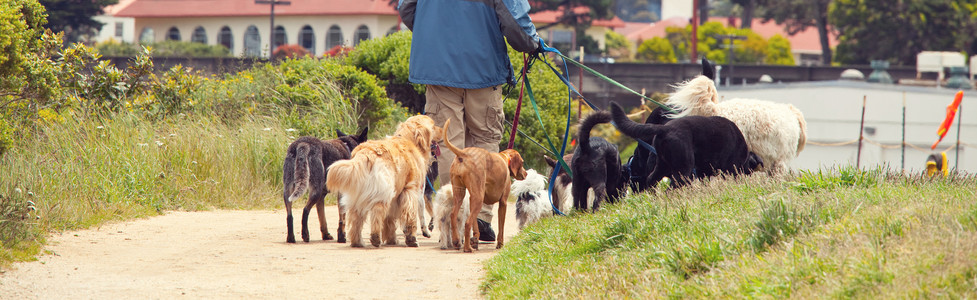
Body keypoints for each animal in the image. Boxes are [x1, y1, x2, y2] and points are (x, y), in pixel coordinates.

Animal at [440, 119, 528, 253]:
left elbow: (476, 227)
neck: (504, 158)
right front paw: (500, 244)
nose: (526, 173)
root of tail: (463, 154)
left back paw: (456, 241)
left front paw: (475, 240)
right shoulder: (503, 202)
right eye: (522, 162)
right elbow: (501, 227)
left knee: (453, 215)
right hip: (479, 199)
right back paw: (467, 248)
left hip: (460, 194)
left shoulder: (471, 199)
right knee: (467, 223)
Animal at [608, 102, 760, 189]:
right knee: (671, 188)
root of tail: (665, 129)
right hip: (683, 169)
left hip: (663, 166)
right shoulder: (731, 169)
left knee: (651, 181)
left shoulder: (703, 171)